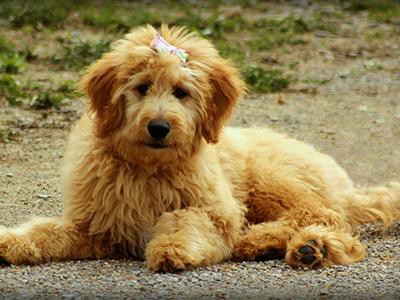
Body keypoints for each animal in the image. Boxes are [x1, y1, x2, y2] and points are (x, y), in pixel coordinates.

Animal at [0, 25, 400, 272]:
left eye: (181, 92)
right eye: (142, 87)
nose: (159, 127)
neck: (148, 168)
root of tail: (345, 186)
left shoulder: (216, 211)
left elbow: (182, 218)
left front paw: (172, 248)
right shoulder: (96, 226)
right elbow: (47, 231)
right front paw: (11, 242)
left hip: (271, 178)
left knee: (323, 215)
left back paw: (289, 244)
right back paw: (296, 247)